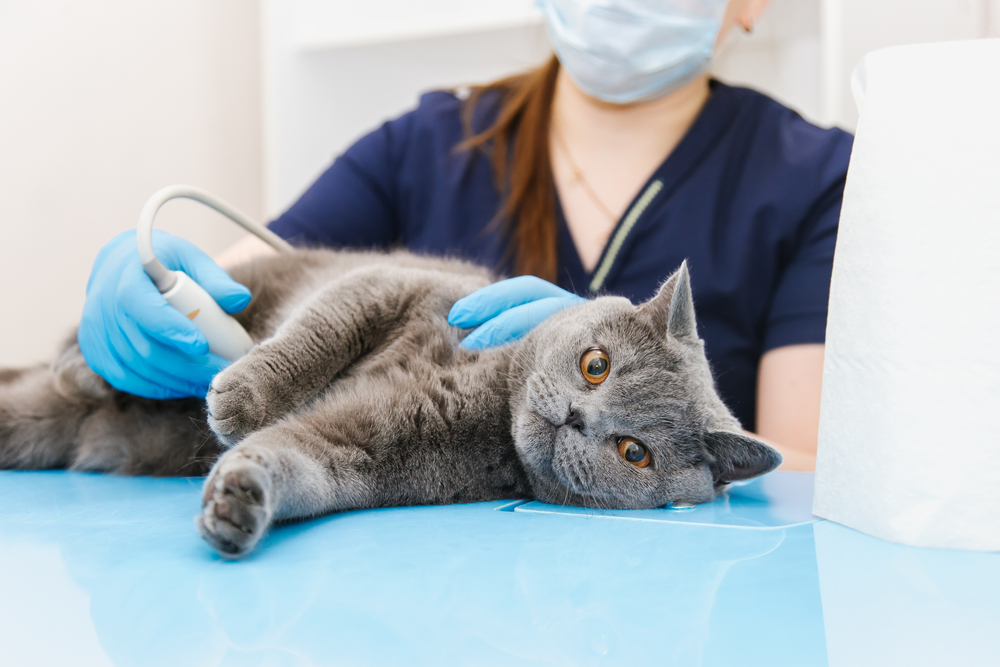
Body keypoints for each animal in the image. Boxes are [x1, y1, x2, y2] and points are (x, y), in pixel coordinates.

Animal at [0, 248, 780, 556]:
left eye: (634, 452)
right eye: (596, 365)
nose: (576, 416)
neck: (487, 395)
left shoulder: (366, 450)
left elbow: (303, 459)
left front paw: (241, 499)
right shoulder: (395, 283)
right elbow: (315, 336)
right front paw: (241, 401)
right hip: (245, 278)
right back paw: (88, 365)